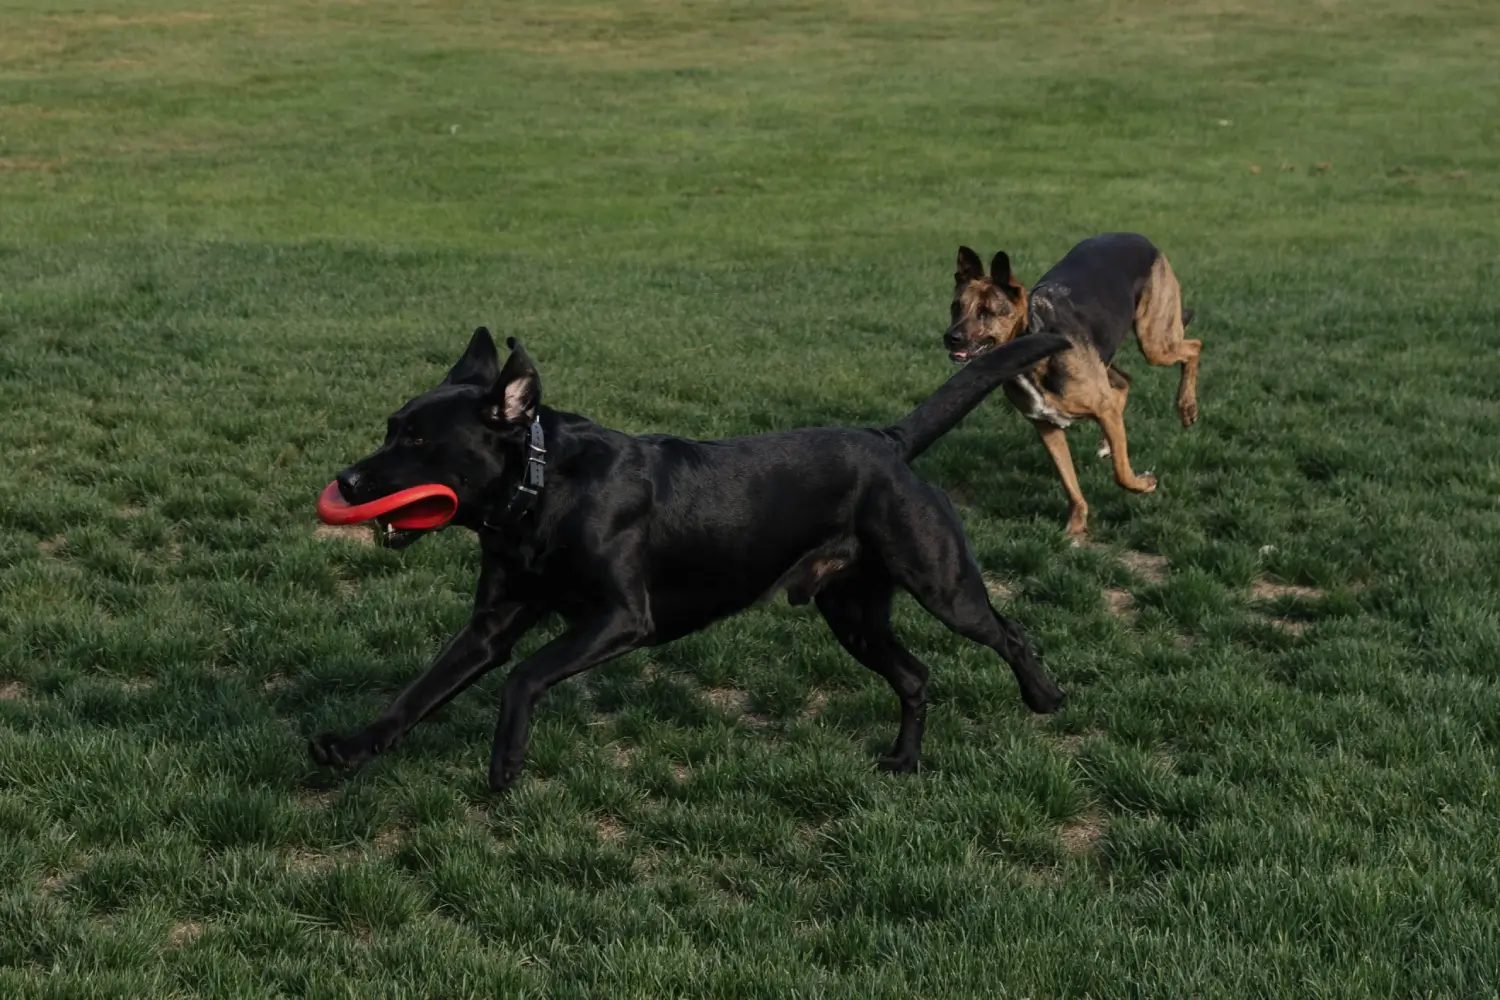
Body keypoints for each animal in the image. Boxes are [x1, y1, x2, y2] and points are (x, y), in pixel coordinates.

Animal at [308, 326, 1071, 791]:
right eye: (390, 428)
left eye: (417, 441)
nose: (345, 481)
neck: (541, 491)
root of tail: (888, 440)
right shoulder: (490, 626)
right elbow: (420, 692)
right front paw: (351, 746)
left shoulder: (620, 618)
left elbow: (524, 676)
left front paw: (507, 760)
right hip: (852, 613)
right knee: (915, 676)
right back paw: (905, 760)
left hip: (941, 581)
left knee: (1008, 633)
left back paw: (1046, 697)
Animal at [942, 233, 1201, 537]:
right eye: (956, 306)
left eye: (986, 312)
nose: (951, 338)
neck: (1032, 347)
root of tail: (1141, 239)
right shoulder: (1046, 426)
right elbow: (1070, 482)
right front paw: (1076, 527)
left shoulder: (1101, 408)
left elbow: (1121, 472)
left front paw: (1144, 484)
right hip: (1109, 359)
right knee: (1124, 382)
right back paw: (1108, 442)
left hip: (1155, 342)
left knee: (1194, 348)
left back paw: (1187, 407)